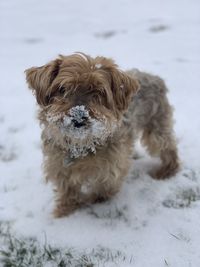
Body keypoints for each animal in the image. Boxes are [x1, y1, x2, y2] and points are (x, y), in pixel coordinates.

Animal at [25, 52, 180, 218]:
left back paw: (167, 171)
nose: (79, 116)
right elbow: (68, 191)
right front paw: (65, 212)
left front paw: (94, 201)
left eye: (98, 91)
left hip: (156, 125)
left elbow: (104, 188)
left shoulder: (112, 167)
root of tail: (155, 78)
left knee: (168, 147)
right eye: (63, 88)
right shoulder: (59, 165)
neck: (82, 146)